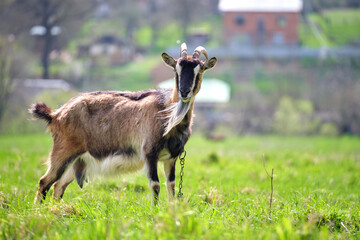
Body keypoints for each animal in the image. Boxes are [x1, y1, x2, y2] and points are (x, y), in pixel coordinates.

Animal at [29, 43, 217, 204]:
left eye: (199, 70)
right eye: (176, 69)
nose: (184, 91)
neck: (167, 113)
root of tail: (56, 115)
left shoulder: (171, 157)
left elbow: (170, 185)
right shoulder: (149, 153)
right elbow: (155, 185)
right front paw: (155, 211)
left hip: (78, 160)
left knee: (58, 186)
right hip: (63, 152)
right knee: (44, 182)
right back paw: (40, 212)